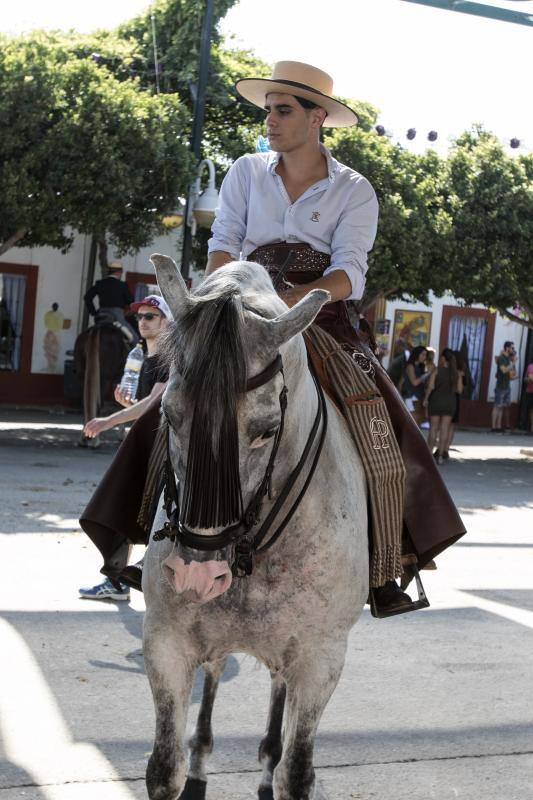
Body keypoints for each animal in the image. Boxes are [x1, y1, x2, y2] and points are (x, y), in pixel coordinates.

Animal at [143, 256, 368, 800]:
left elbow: (298, 773)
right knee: (215, 668)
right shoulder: (165, 641)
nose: (197, 575)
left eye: (266, 431)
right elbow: (163, 768)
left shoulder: (320, 658)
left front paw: (278, 769)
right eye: (168, 415)